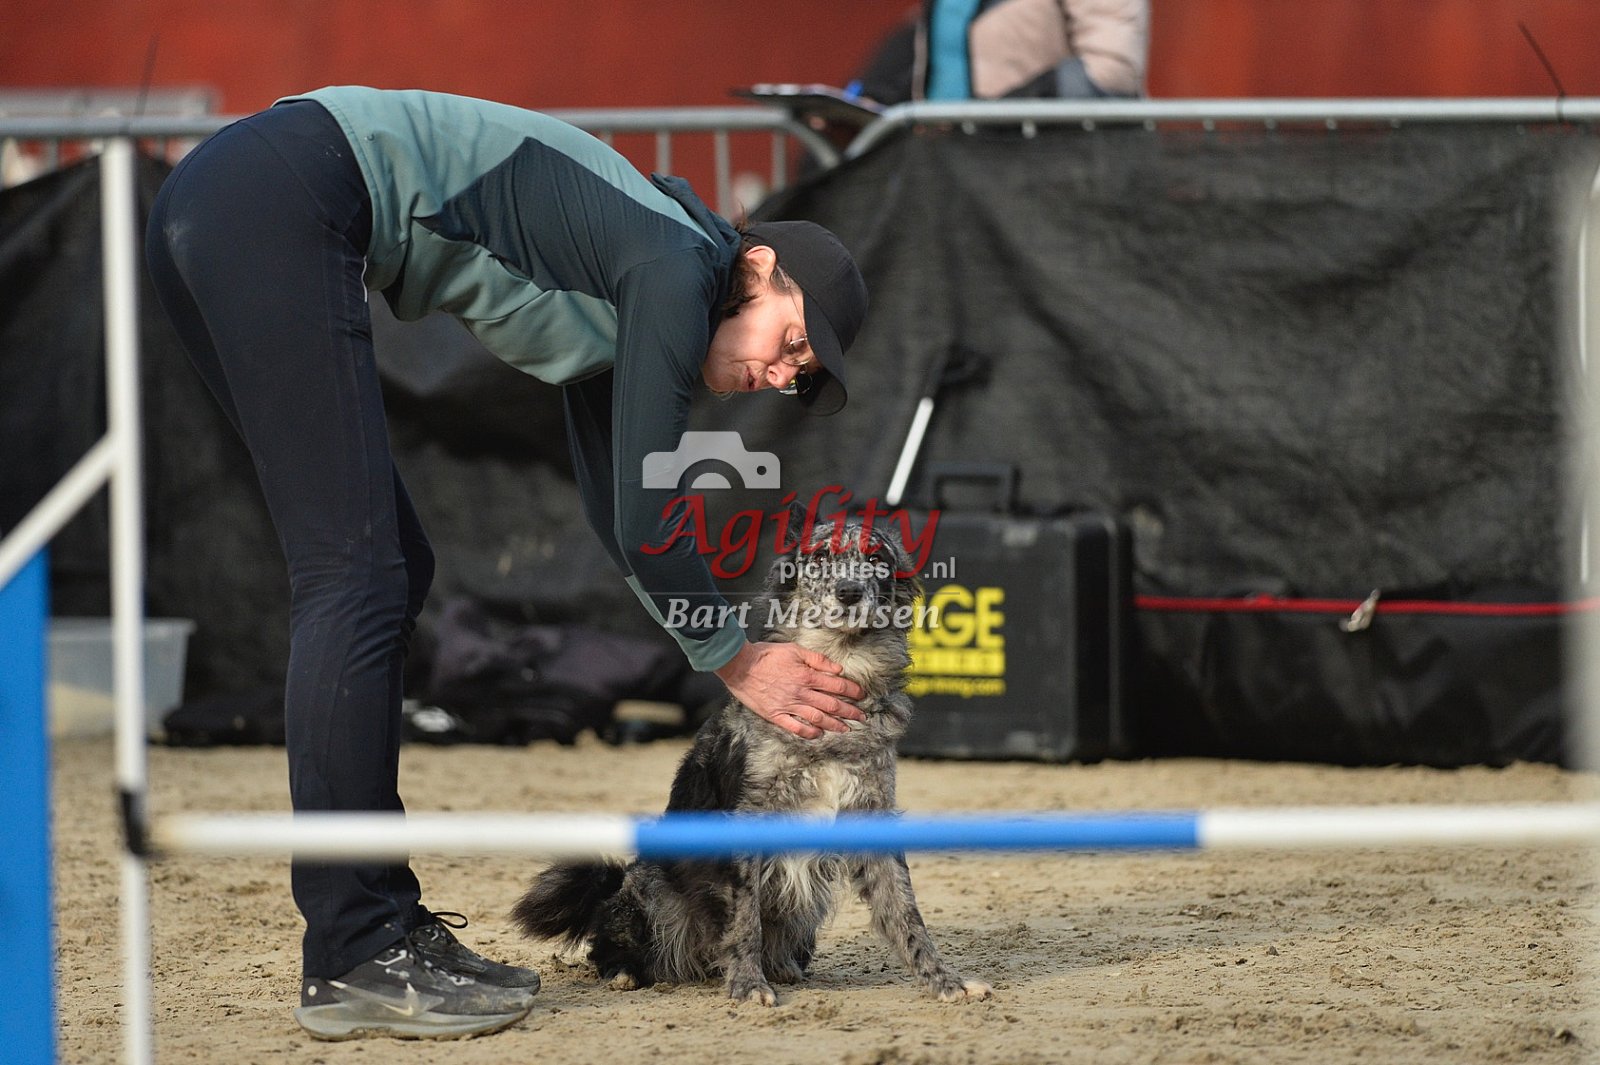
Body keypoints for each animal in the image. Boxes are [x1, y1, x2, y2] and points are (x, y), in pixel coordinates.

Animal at [511, 511, 992, 1006]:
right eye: (821, 557)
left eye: (877, 559)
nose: (849, 592)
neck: (841, 669)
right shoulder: (747, 822)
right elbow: (745, 920)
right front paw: (747, 985)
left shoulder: (871, 812)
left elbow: (906, 912)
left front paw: (946, 981)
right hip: (652, 890)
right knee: (614, 937)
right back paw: (627, 970)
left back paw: (783, 968)